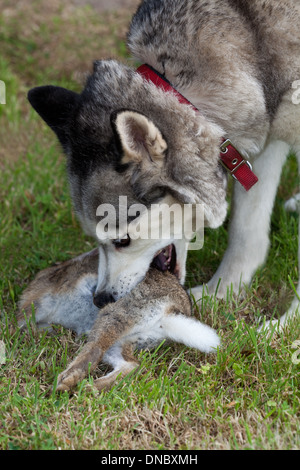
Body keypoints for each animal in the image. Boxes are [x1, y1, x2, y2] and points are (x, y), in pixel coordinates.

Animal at [18, 250, 220, 392]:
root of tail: (171, 311)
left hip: (115, 316)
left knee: (95, 350)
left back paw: (65, 383)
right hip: (131, 339)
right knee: (131, 365)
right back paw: (90, 389)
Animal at [27, 0, 298, 330]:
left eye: (122, 240)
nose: (101, 299)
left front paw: (285, 328)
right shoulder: (262, 141)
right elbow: (246, 230)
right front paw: (221, 291)